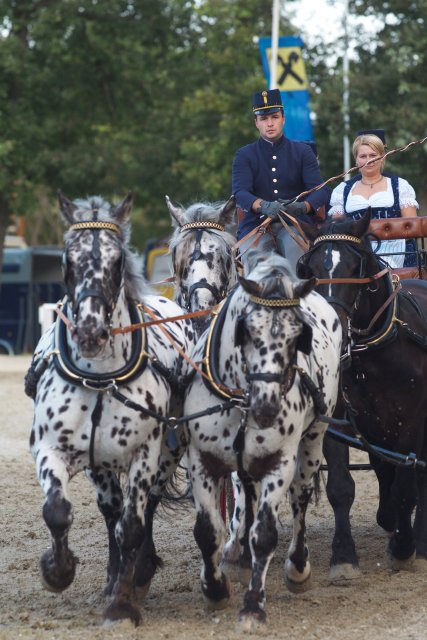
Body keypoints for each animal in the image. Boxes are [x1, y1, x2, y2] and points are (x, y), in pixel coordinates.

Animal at [29, 191, 196, 624]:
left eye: (117, 261)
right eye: (66, 260)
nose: (90, 332)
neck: (101, 379)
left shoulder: (144, 454)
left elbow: (133, 526)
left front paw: (122, 602)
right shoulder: (52, 450)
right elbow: (58, 511)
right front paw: (58, 570)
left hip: (167, 451)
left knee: (144, 507)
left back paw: (138, 571)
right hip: (100, 465)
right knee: (110, 510)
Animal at [186, 251, 342, 632]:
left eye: (298, 335)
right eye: (248, 330)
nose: (267, 406)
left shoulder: (279, 461)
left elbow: (266, 534)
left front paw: (253, 607)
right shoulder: (202, 460)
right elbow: (207, 531)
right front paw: (215, 588)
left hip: (313, 440)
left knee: (300, 499)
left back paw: (297, 567)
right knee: (246, 496)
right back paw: (238, 554)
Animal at [298, 210, 427, 576]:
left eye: (356, 266)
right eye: (309, 268)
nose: (328, 327)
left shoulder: (412, 420)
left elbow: (407, 486)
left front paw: (403, 547)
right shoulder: (337, 418)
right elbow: (341, 487)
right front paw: (343, 557)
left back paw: (418, 541)